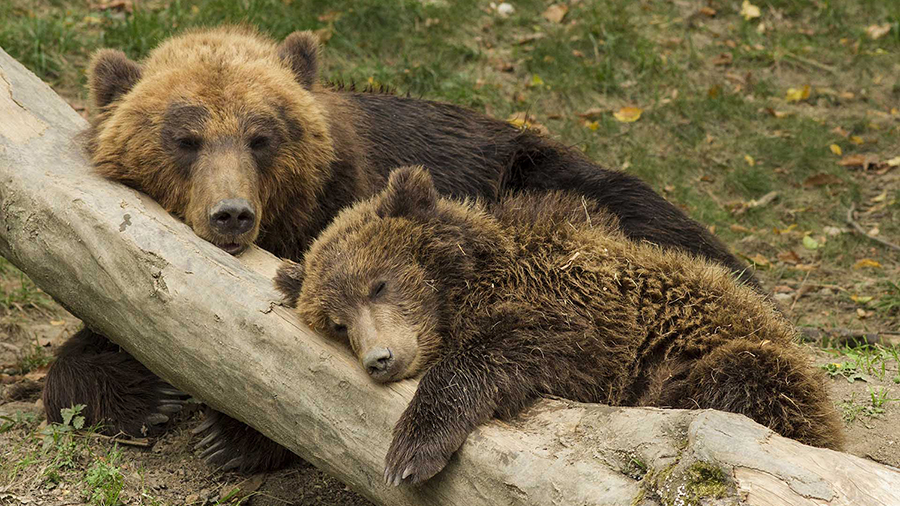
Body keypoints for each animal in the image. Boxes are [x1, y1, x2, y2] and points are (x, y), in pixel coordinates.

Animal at [276, 166, 844, 486]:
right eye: (337, 323)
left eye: (378, 284)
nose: (380, 359)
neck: (471, 281)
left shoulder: (588, 310)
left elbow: (523, 345)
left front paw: (412, 452)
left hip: (749, 360)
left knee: (742, 379)